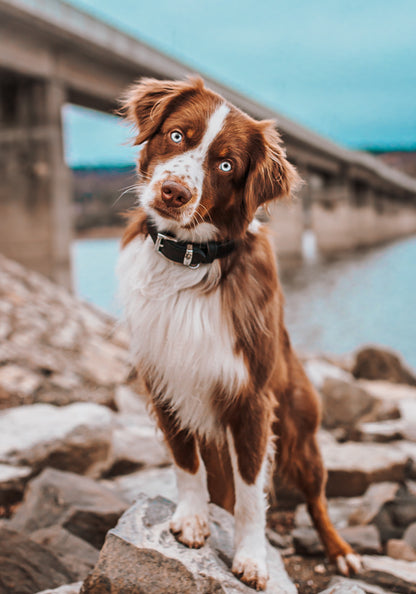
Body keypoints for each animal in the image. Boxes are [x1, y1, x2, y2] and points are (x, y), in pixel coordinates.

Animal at [117, 77, 360, 588]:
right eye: (176, 135)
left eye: (226, 164)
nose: (173, 192)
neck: (189, 259)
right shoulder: (163, 382)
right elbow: (185, 462)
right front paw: (192, 519)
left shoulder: (251, 401)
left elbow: (251, 493)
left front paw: (251, 557)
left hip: (301, 437)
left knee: (317, 499)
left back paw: (341, 552)